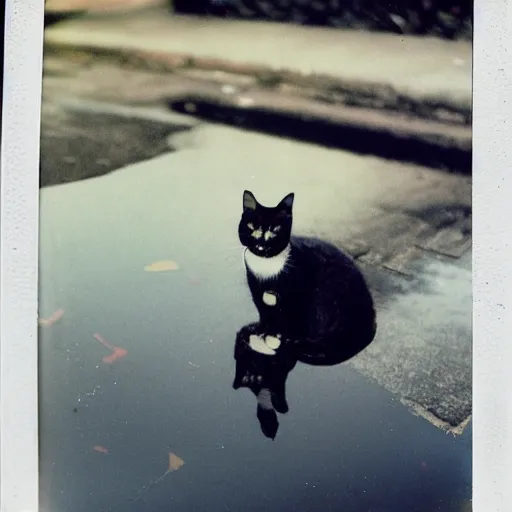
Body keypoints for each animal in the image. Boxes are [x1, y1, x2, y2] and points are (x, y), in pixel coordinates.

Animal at [237, 189, 376, 364]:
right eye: (251, 226)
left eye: (275, 229)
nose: (260, 243)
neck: (266, 265)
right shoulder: (256, 290)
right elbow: (264, 313)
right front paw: (261, 330)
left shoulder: (297, 295)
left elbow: (289, 321)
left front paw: (276, 338)